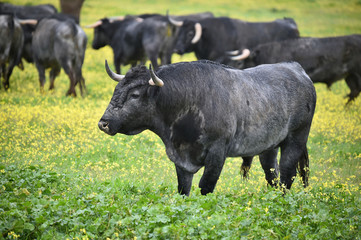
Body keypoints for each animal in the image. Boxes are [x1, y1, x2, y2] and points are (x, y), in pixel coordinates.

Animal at [98, 59, 316, 195]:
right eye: (116, 89)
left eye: (135, 95)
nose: (104, 123)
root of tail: (296, 69)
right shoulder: (181, 161)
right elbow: (183, 189)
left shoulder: (217, 153)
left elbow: (206, 186)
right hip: (268, 148)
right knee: (272, 176)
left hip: (296, 139)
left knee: (287, 175)